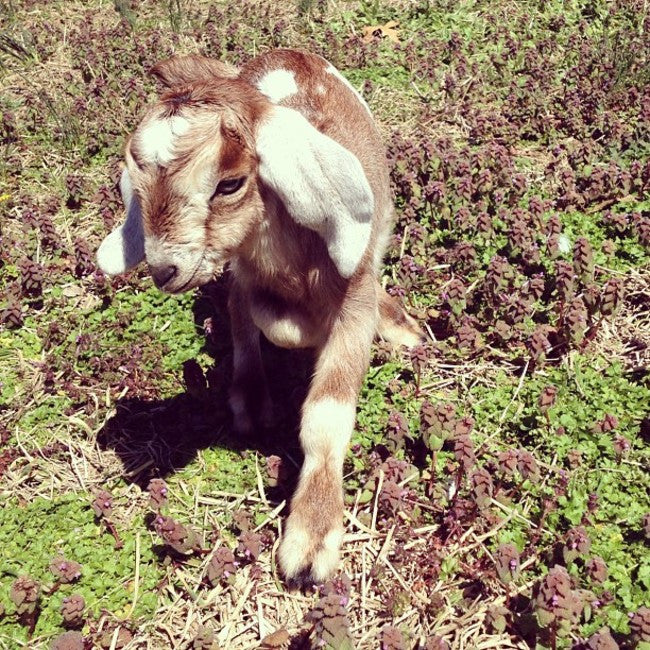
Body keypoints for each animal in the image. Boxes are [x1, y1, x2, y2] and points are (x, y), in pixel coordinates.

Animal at [96, 45, 420, 584]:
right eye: (134, 186)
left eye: (230, 183)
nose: (164, 269)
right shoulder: (248, 272)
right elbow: (268, 319)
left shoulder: (354, 296)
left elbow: (327, 413)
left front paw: (310, 544)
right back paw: (250, 399)